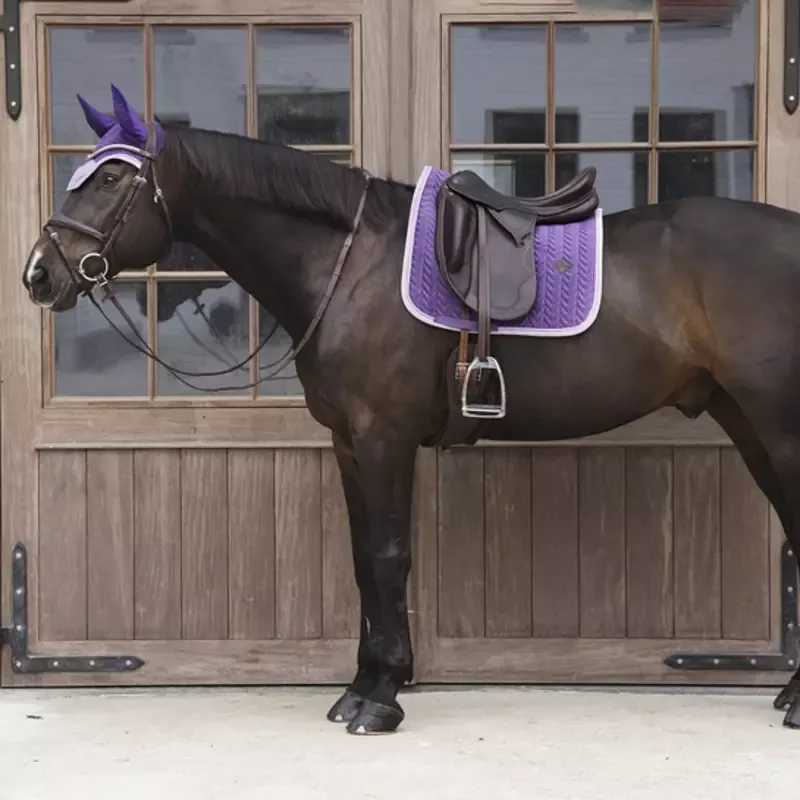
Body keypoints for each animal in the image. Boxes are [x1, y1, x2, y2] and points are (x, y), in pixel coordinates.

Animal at [21, 84, 800, 735]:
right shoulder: (348, 440)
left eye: (111, 179)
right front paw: (361, 685)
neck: (346, 263)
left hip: (778, 426)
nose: (39, 274)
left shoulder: (383, 435)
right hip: (746, 421)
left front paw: (381, 698)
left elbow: (389, 555)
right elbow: (365, 560)